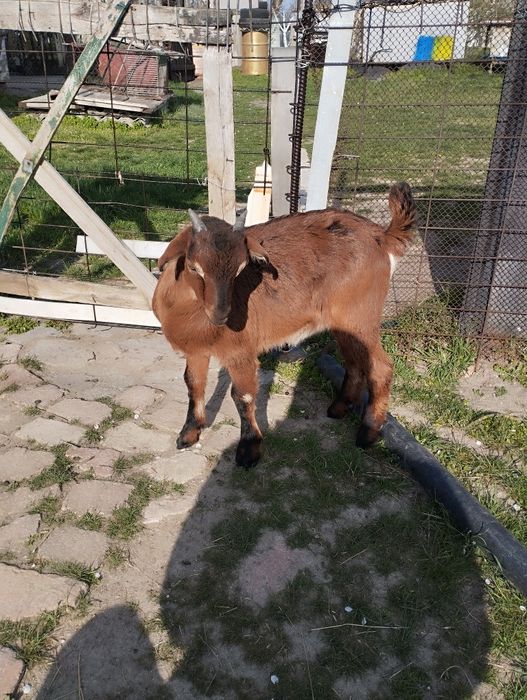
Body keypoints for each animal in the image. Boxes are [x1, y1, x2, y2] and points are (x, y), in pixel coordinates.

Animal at [153, 182, 417, 468]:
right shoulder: (195, 350)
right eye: (193, 267)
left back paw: (368, 433)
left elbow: (242, 395)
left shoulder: (240, 352)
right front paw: (188, 434)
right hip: (344, 324)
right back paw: (338, 409)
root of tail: (381, 235)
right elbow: (193, 385)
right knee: (355, 362)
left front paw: (249, 449)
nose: (222, 314)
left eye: (241, 268)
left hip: (362, 317)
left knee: (381, 367)